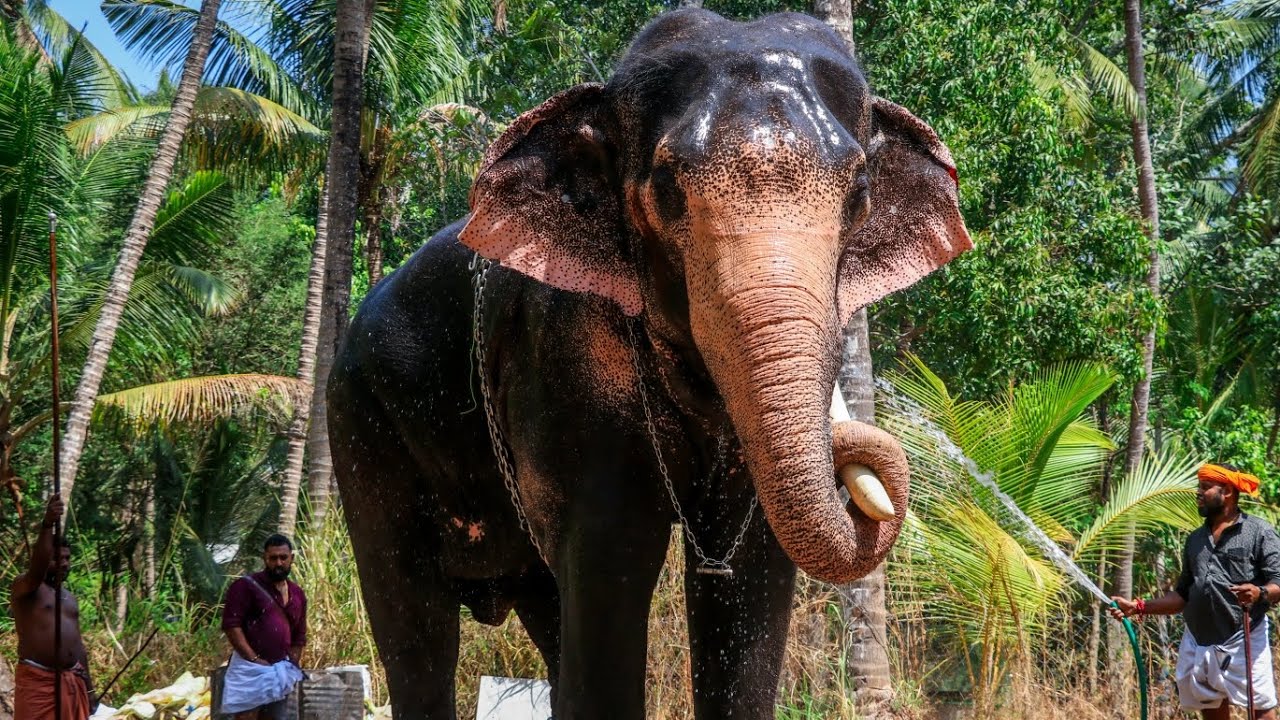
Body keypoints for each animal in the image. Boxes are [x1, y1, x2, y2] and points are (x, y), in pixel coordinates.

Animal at [327, 7, 972, 720]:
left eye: (858, 194)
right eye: (666, 189)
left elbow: (748, 574)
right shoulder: (562, 351)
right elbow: (612, 550)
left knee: (546, 610)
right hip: (360, 426)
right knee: (413, 623)